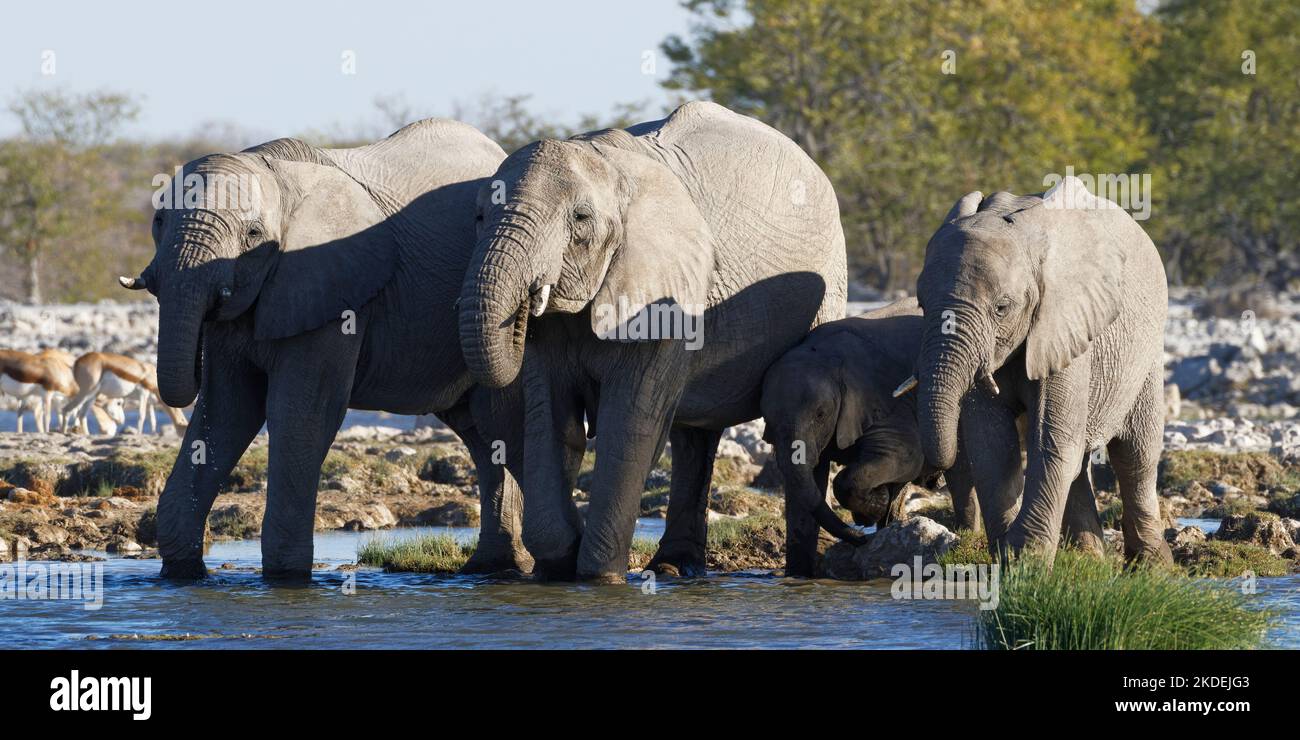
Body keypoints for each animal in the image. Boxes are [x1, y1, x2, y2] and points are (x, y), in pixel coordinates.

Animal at [116, 118, 530, 577]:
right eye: (158, 220)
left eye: (253, 235)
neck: (275, 174)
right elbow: (227, 410)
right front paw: (183, 573)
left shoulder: (335, 292)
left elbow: (301, 414)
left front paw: (286, 577)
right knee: (483, 432)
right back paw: (490, 567)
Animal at [462, 100, 847, 580]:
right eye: (479, 217)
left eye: (580, 220)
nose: (525, 304)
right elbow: (551, 422)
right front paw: (560, 563)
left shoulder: (667, 291)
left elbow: (627, 424)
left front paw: (598, 577)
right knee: (693, 437)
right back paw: (674, 567)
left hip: (829, 284)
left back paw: (805, 571)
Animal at [759, 297, 977, 574]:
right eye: (768, 421)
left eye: (820, 414)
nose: (862, 538)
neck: (827, 356)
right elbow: (807, 484)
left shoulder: (885, 400)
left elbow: (906, 457)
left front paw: (874, 508)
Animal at [904, 175, 1170, 561]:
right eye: (922, 305)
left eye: (1001, 308)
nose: (930, 478)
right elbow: (992, 446)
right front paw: (1006, 556)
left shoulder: (1067, 322)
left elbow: (1052, 438)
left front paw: (1024, 558)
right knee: (1082, 460)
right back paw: (1090, 560)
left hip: (1147, 355)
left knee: (1136, 456)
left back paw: (1152, 566)